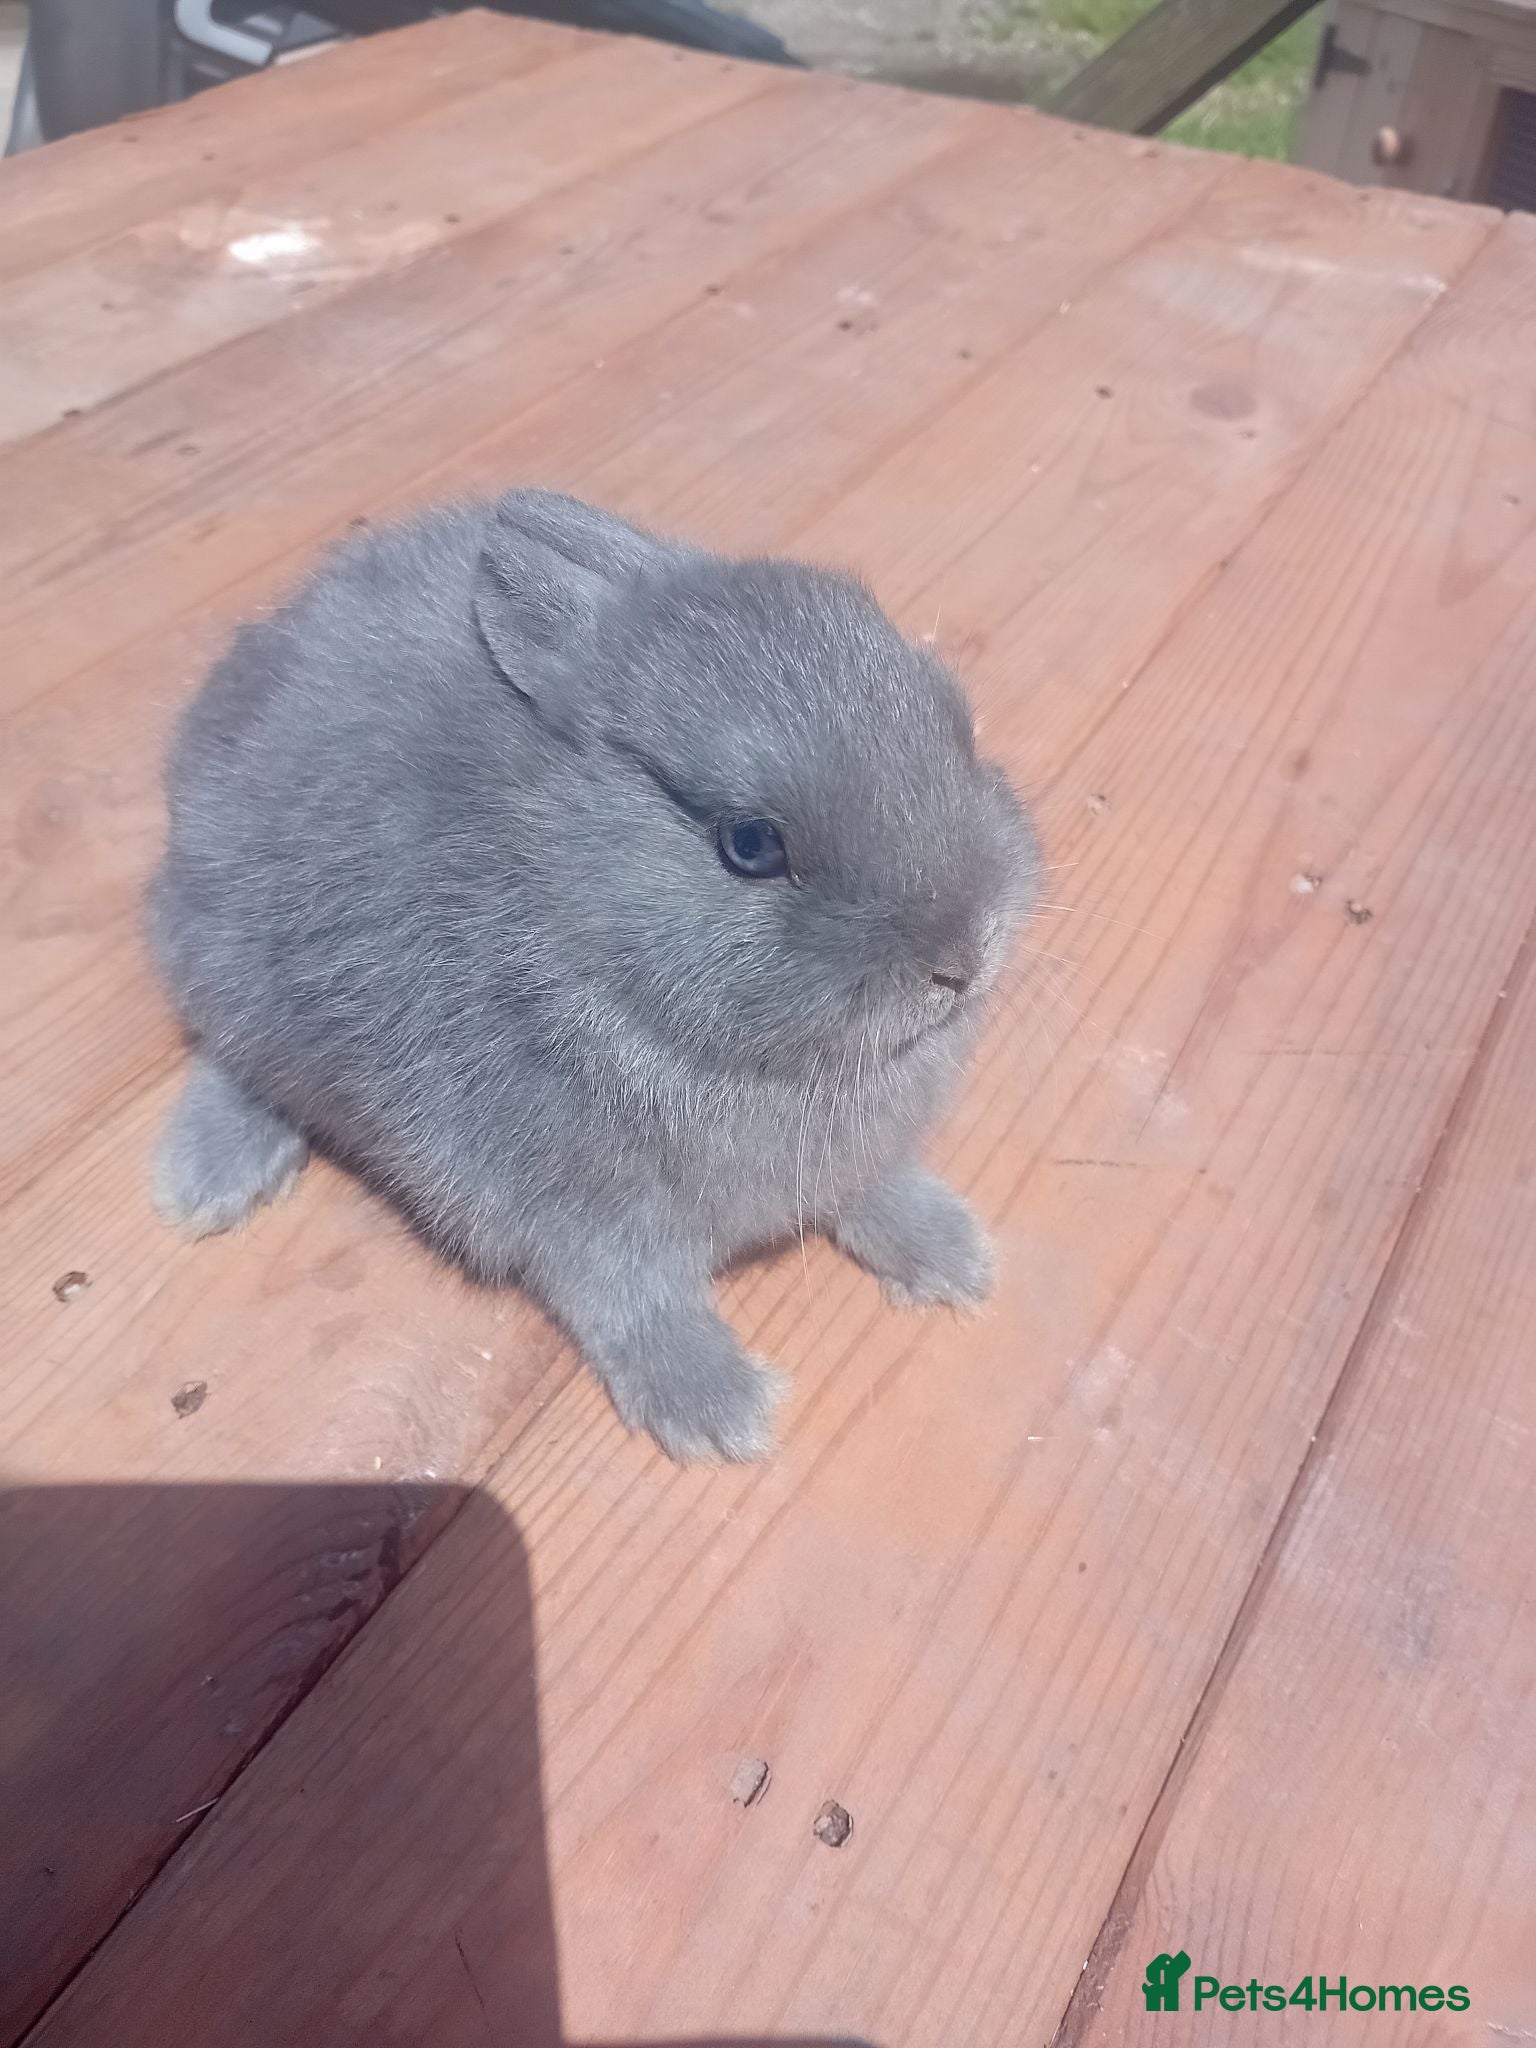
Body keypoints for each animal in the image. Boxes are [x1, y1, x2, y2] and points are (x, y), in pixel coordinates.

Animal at [149, 490, 1039, 1462]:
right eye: (750, 845)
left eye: (958, 727)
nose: (965, 955)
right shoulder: (577, 1218)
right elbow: (633, 1302)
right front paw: (719, 1412)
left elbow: (874, 1189)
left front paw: (952, 1255)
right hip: (240, 980)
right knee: (231, 1058)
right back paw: (208, 1180)